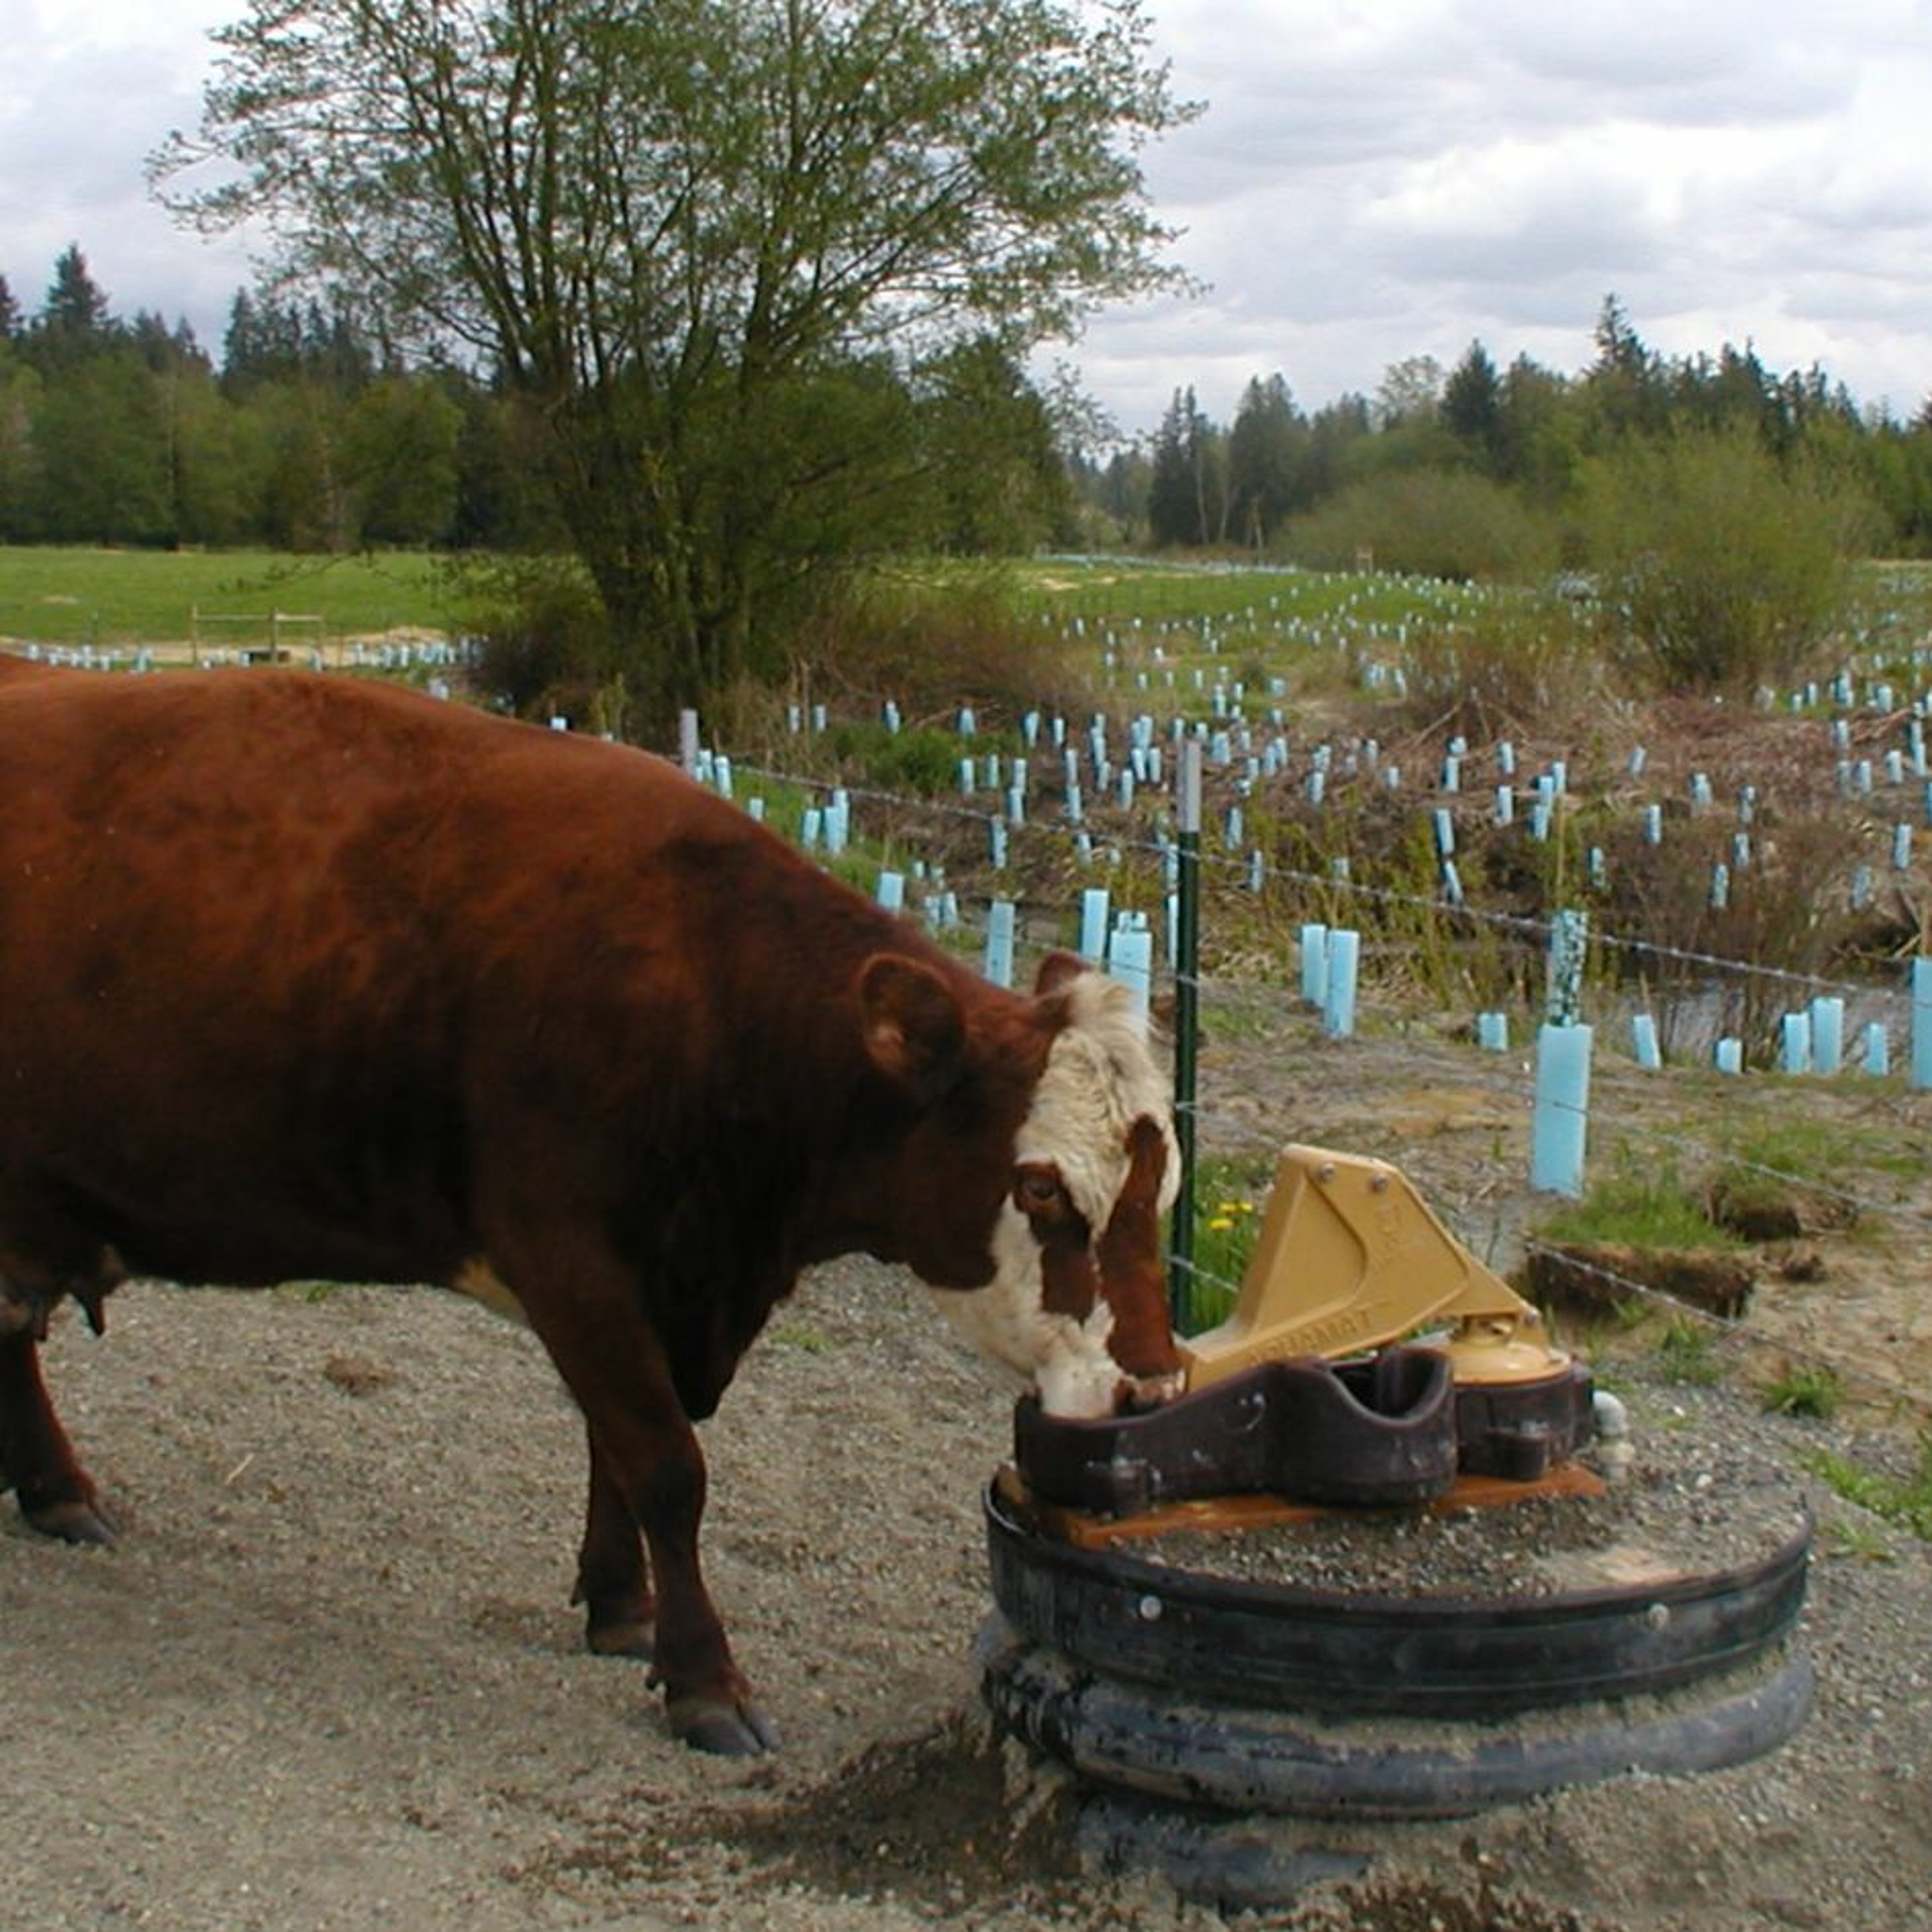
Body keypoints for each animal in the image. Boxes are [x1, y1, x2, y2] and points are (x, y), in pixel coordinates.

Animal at [0, 661, 1182, 1754]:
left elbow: (617, 1450)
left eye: (1160, 1189)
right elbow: (664, 1466)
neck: (704, 993)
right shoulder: (571, 1260)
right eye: (1041, 1186)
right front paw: (705, 1679)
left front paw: (622, 1605)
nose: (1150, 1389)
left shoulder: (657, 1282)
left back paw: (52, 1489)